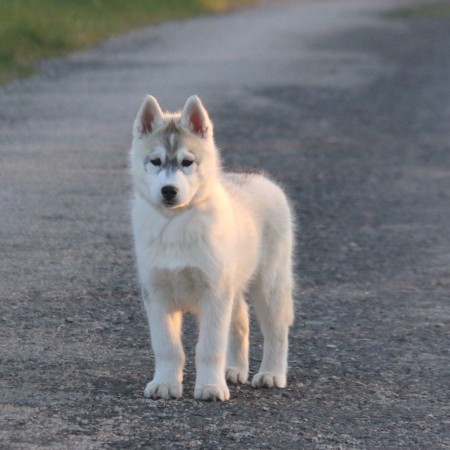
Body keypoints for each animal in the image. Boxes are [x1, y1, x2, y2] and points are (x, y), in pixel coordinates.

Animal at [129, 95, 296, 400]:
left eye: (187, 162)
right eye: (155, 161)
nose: (169, 191)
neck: (176, 222)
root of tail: (257, 176)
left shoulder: (215, 293)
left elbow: (209, 348)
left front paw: (210, 387)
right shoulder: (156, 293)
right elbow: (166, 346)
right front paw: (165, 384)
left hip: (270, 283)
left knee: (276, 330)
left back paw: (271, 374)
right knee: (240, 321)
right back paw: (234, 370)